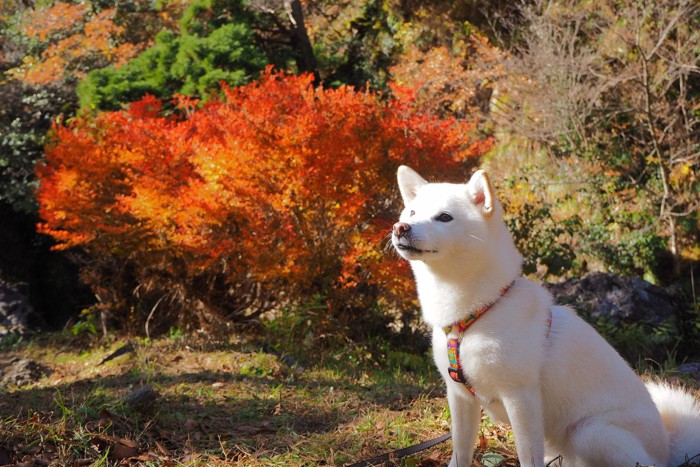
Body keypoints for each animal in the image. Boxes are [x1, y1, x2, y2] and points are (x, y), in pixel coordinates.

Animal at [392, 166, 700, 466]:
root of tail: (667, 446)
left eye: (444, 217)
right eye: (412, 213)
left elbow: (528, 456)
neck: (475, 315)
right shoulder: (459, 397)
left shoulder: (520, 397)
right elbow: (461, 452)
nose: (400, 228)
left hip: (590, 432)